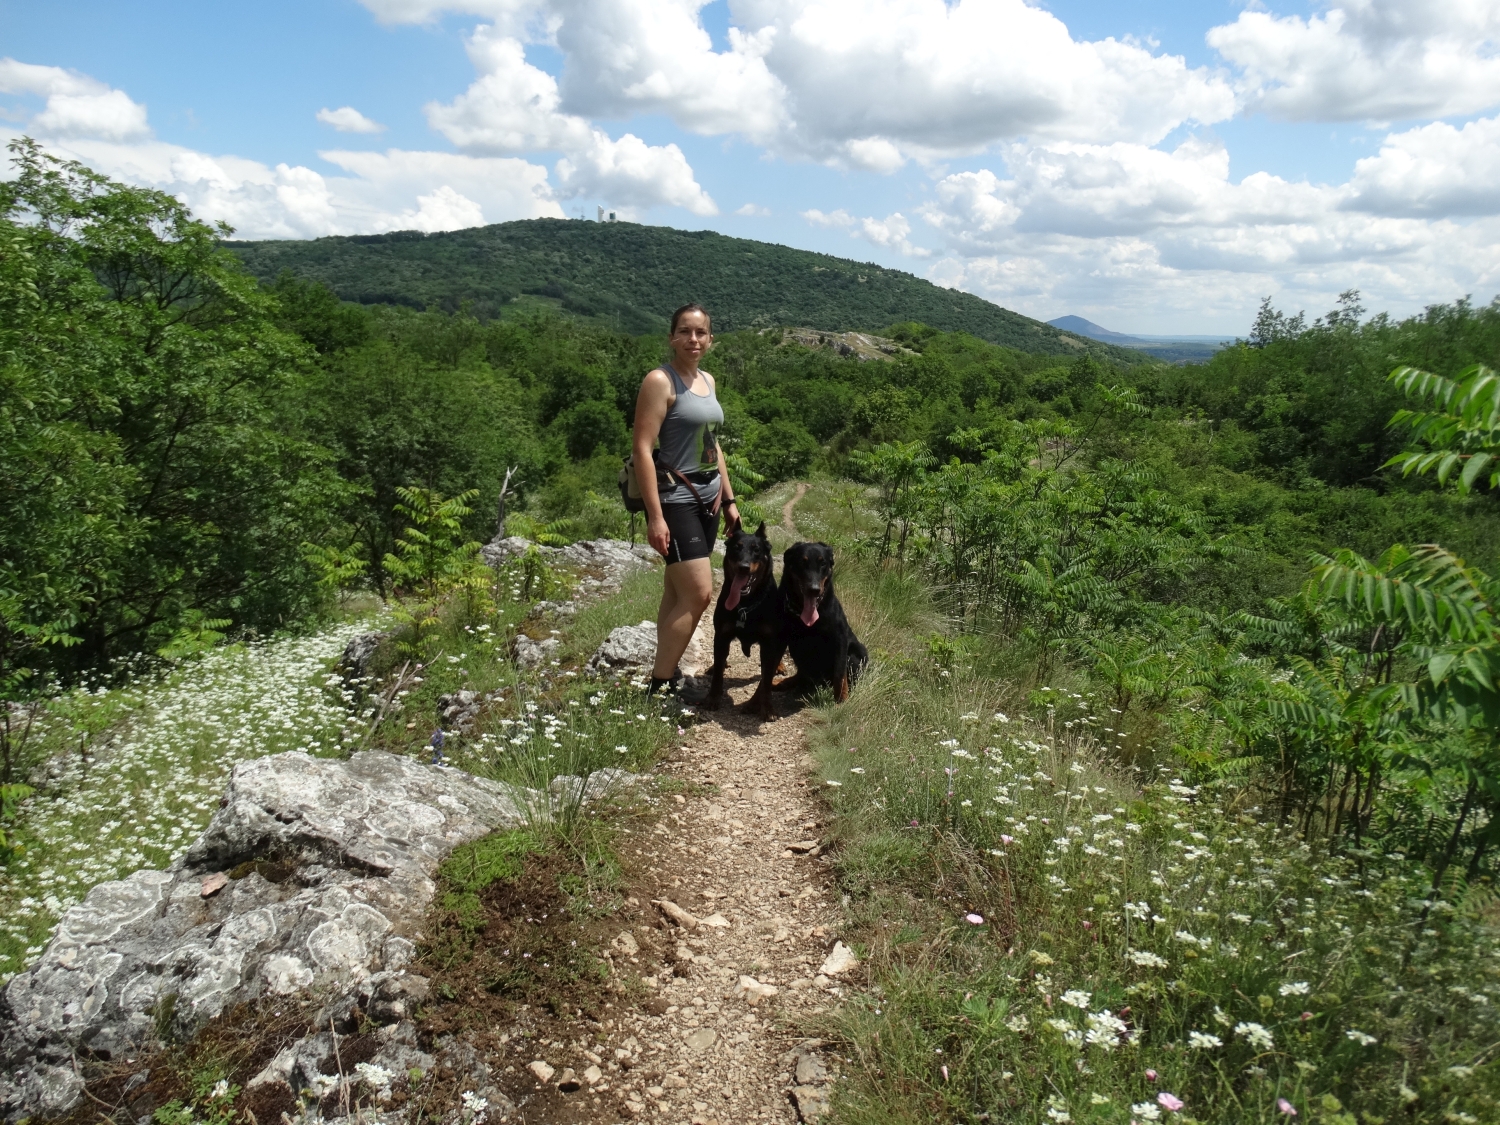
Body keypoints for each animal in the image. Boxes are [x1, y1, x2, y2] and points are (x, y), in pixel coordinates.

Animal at [705, 522, 786, 708]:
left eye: (756, 549)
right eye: (737, 547)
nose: (743, 567)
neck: (747, 603)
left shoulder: (769, 640)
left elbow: (766, 678)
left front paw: (766, 705)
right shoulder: (722, 635)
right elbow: (718, 671)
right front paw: (713, 697)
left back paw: (780, 666)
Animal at [747, 540, 870, 717]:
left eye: (823, 563)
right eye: (802, 562)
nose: (814, 590)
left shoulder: (840, 639)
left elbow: (840, 675)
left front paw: (841, 701)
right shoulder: (779, 641)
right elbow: (767, 673)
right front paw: (754, 701)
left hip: (856, 655)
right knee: (801, 675)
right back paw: (784, 683)